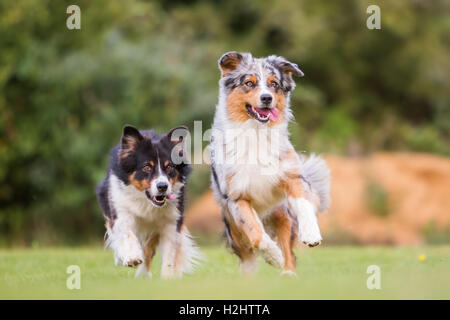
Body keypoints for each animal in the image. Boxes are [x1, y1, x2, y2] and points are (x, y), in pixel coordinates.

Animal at [210, 52, 330, 276]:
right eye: (249, 83)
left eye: (274, 84)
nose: (267, 98)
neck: (257, 132)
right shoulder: (237, 197)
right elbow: (255, 233)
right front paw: (273, 256)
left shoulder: (292, 176)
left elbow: (304, 203)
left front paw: (311, 234)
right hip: (234, 230)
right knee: (248, 255)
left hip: (282, 214)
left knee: (289, 251)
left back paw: (288, 273)